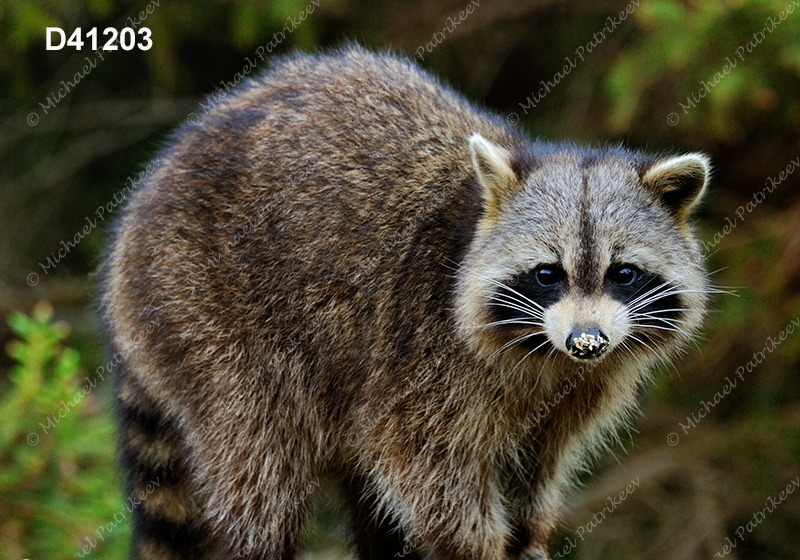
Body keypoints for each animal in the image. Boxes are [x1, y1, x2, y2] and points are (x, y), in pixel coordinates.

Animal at [103, 44, 708, 560]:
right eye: (546, 275)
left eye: (622, 274)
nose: (587, 341)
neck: (545, 352)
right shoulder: (421, 352)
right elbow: (425, 467)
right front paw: (476, 546)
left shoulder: (580, 387)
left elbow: (537, 463)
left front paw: (529, 532)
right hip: (208, 317)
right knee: (260, 469)